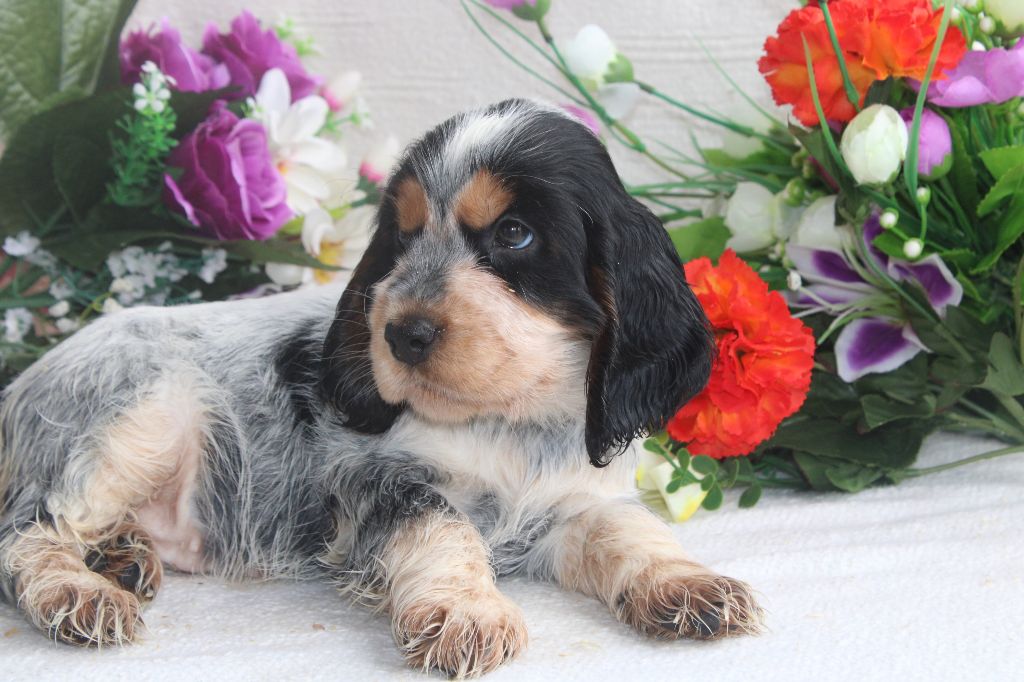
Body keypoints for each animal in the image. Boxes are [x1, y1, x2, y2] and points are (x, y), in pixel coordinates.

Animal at [0, 99, 761, 675]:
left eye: (514, 234)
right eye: (405, 233)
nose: (401, 333)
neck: (506, 419)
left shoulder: (572, 504)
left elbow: (630, 528)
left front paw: (686, 583)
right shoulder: (373, 486)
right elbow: (443, 523)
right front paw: (467, 612)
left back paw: (120, 555)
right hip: (135, 418)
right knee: (27, 531)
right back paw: (81, 591)